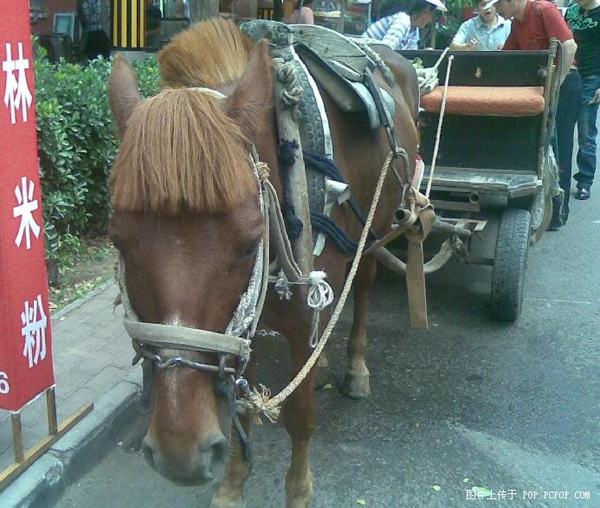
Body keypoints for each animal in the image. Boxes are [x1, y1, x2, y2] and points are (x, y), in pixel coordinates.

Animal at [106, 17, 418, 508]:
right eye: (118, 240)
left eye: (251, 240)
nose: (181, 454)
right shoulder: (238, 329)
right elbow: (241, 409)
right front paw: (233, 484)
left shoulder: (299, 316)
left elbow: (300, 417)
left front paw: (299, 490)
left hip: (377, 228)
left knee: (363, 287)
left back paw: (355, 367)